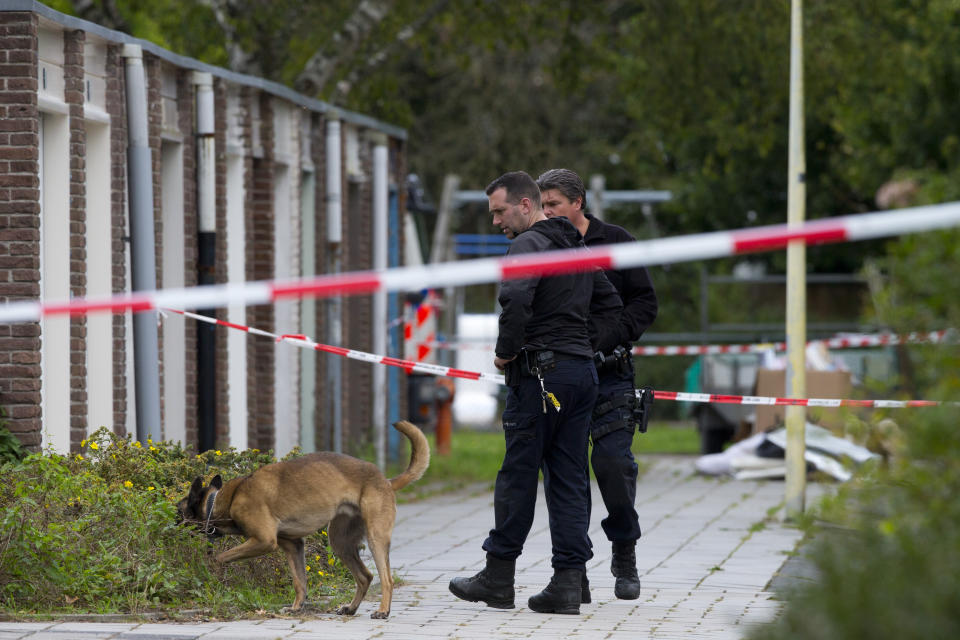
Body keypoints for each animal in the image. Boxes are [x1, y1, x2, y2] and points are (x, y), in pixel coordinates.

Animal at [177, 420, 432, 620]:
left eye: (179, 512)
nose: (171, 528)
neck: (222, 500)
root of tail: (385, 481)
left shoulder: (263, 541)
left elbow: (222, 557)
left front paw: (211, 568)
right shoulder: (292, 545)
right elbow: (299, 581)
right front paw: (296, 608)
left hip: (375, 538)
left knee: (386, 578)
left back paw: (383, 610)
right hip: (340, 542)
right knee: (365, 576)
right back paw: (350, 608)